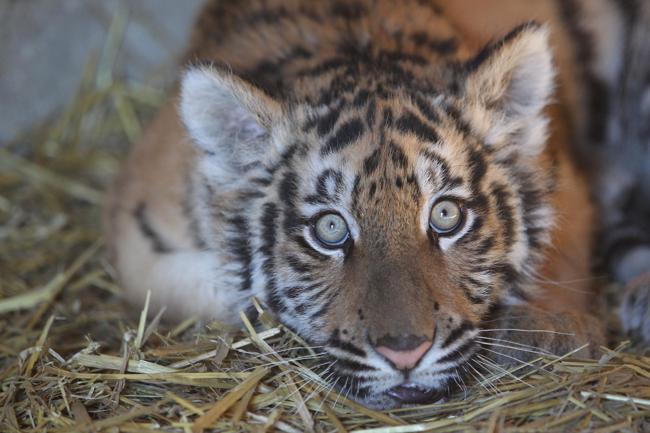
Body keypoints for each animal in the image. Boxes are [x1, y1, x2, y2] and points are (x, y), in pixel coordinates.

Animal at [105, 0, 650, 408]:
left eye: (446, 215)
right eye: (330, 229)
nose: (406, 354)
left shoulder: (564, 174)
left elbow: (558, 252)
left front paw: (551, 329)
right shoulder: (137, 238)